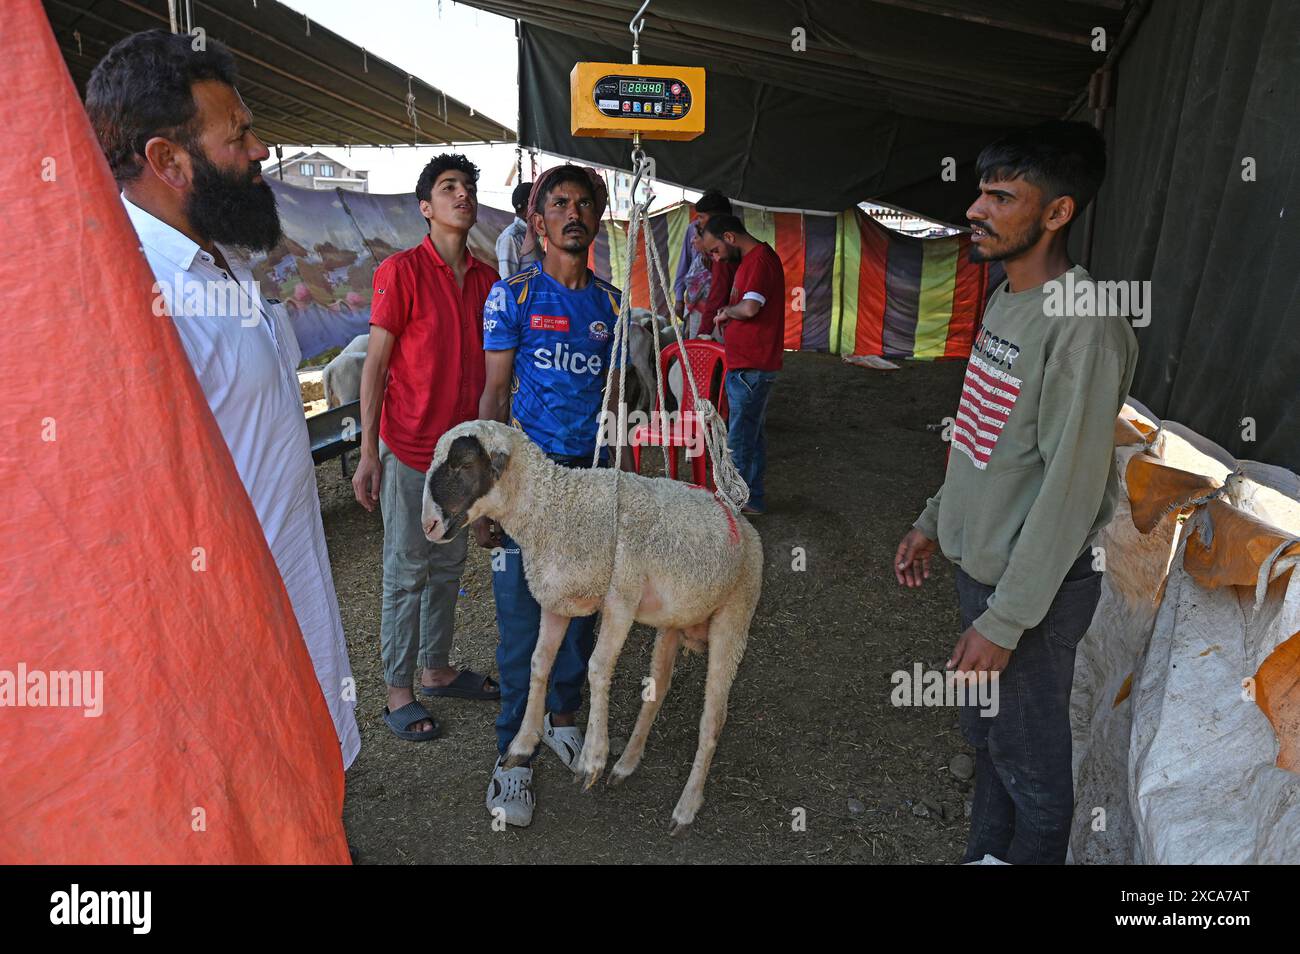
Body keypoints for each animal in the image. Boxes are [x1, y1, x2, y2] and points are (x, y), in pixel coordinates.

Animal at [421, 421, 759, 831]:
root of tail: (738, 517)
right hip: (673, 620)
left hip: (735, 615)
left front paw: (593, 757)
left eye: (465, 464)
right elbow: (539, 662)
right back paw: (626, 764)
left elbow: (597, 669)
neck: (558, 507)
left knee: (713, 718)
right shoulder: (556, 599)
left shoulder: (621, 600)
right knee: (657, 691)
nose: (428, 525)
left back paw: (686, 806)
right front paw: (522, 743)